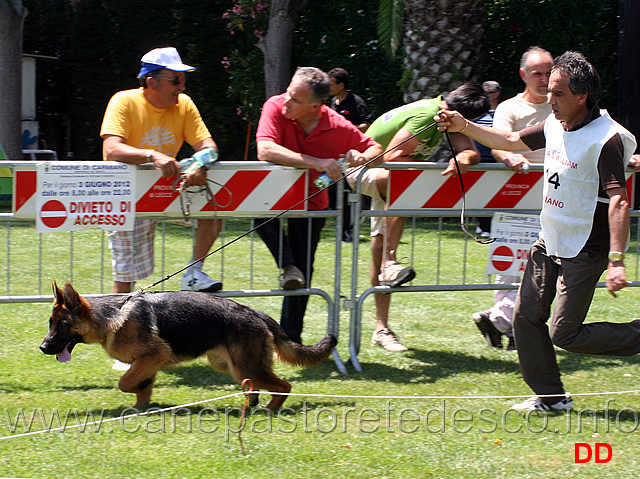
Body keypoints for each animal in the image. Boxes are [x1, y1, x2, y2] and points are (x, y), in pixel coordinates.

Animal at [40, 284, 338, 410]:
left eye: (63, 326)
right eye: (50, 323)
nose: (43, 347)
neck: (111, 317)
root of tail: (256, 312)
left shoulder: (152, 356)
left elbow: (125, 382)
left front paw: (136, 394)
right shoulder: (147, 362)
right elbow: (141, 386)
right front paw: (141, 406)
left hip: (245, 364)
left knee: (283, 385)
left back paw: (271, 408)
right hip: (230, 365)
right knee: (255, 384)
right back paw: (253, 402)